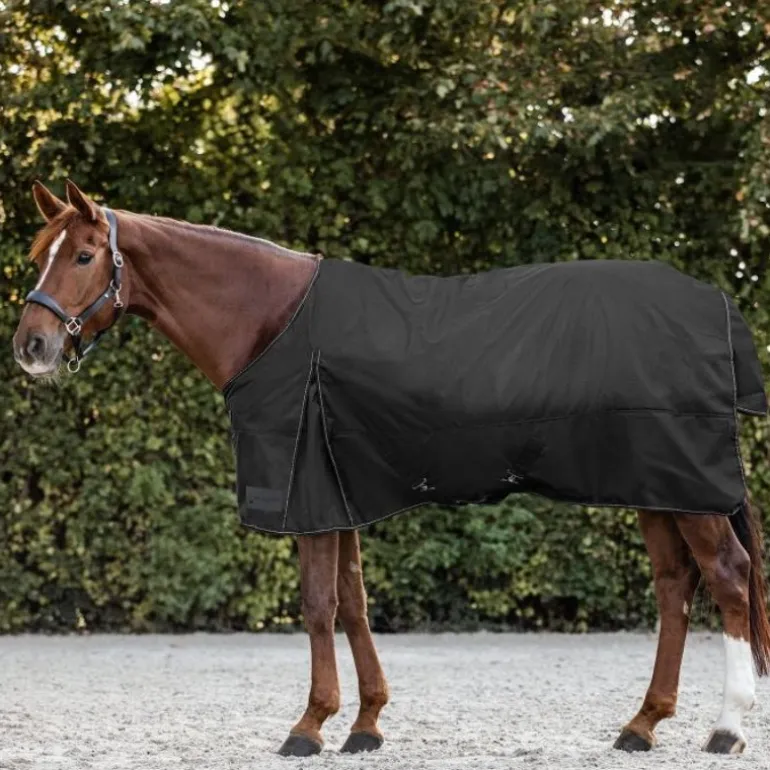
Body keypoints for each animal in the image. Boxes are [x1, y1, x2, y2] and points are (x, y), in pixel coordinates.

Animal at [12, 180, 770, 757]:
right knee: (675, 587)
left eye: (84, 255)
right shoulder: (335, 491)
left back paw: (726, 728)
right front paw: (367, 723)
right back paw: (642, 724)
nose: (31, 346)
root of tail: (713, 304)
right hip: (657, 488)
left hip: (688, 488)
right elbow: (353, 604)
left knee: (729, 577)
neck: (270, 320)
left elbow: (319, 605)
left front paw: (309, 726)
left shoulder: (308, 495)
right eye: (37, 255)